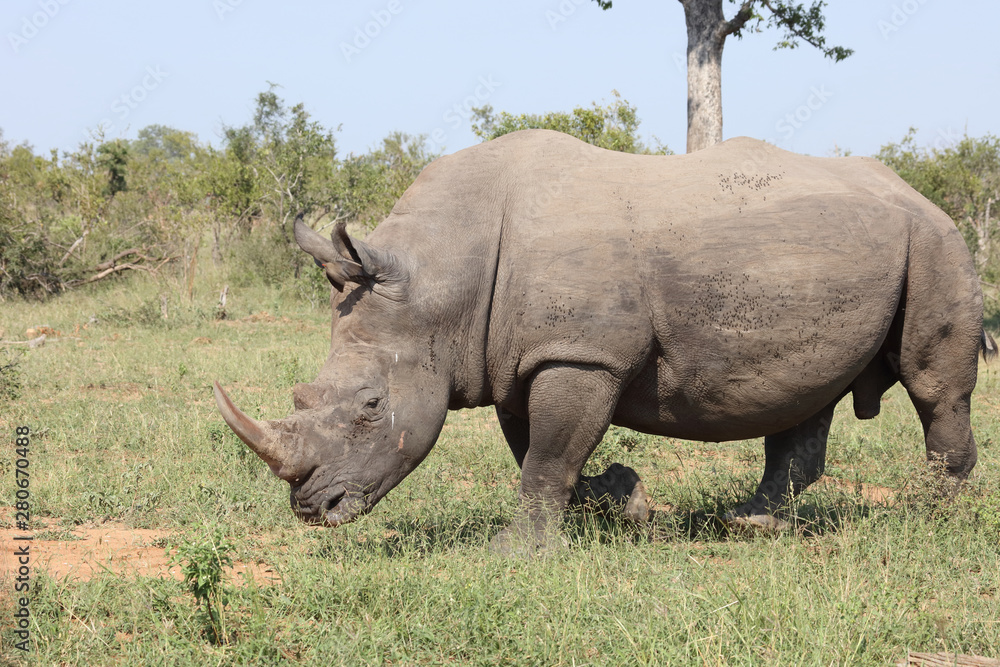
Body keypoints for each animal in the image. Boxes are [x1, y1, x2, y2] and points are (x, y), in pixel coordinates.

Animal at [214, 129, 994, 554]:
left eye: (372, 407)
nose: (314, 512)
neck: (440, 279)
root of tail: (916, 192)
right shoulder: (519, 356)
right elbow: (537, 448)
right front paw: (625, 500)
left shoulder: (580, 353)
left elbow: (547, 454)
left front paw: (514, 553)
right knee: (807, 396)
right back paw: (754, 522)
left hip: (937, 240)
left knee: (933, 383)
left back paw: (928, 514)